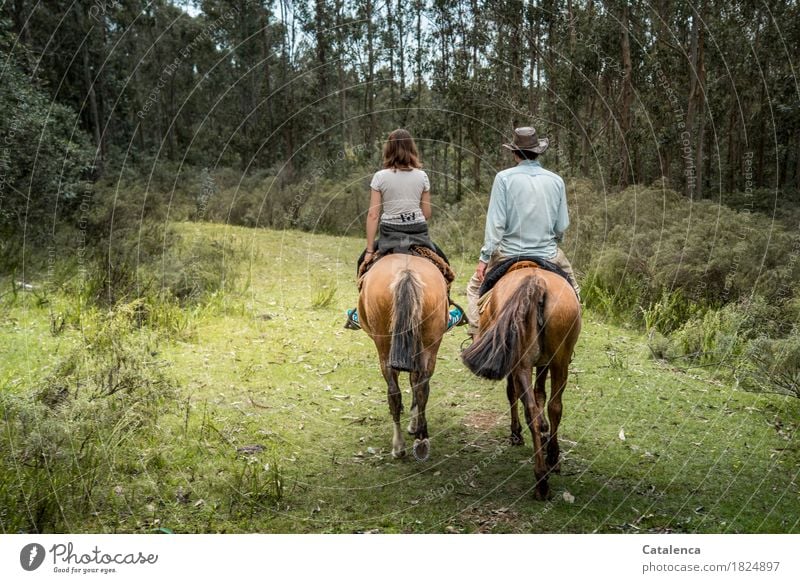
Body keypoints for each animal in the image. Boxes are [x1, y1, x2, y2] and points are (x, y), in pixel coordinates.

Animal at [358, 253, 450, 464]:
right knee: (421, 387)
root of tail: (407, 272)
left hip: (385, 347)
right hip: (430, 343)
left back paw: (399, 446)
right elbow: (415, 382)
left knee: (395, 392)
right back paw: (421, 442)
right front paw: (415, 425)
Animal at [462, 266, 580, 500]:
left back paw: (543, 473)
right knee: (553, 406)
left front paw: (516, 433)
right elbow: (539, 393)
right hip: (558, 360)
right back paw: (549, 466)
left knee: (531, 404)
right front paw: (542, 430)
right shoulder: (542, 362)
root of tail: (537, 281)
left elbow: (514, 392)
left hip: (522, 361)